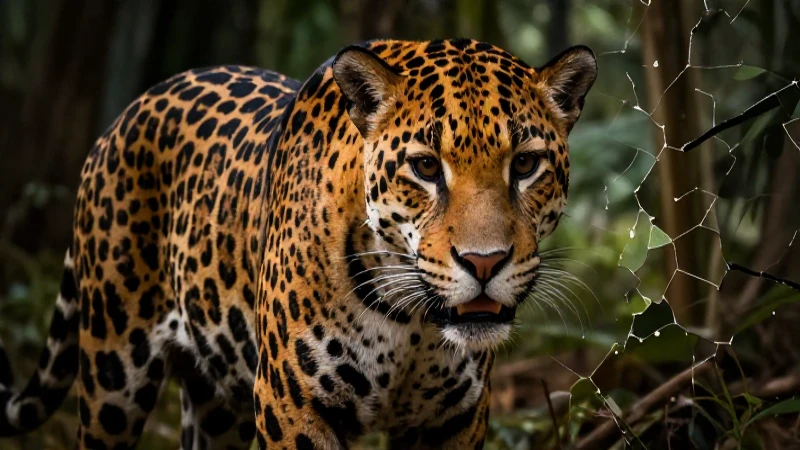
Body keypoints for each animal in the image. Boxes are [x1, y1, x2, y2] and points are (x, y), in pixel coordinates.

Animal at [0, 38, 596, 449]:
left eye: (526, 164)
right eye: (426, 168)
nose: (484, 263)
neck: (411, 323)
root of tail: (124, 115)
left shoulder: (456, 419)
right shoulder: (294, 406)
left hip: (217, 401)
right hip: (112, 377)